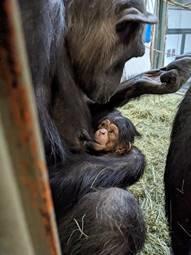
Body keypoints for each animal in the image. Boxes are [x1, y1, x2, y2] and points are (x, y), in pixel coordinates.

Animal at [18, 0, 191, 254]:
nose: (116, 75)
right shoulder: (35, 24)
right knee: (116, 209)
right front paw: (134, 158)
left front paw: (155, 79)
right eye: (129, 55)